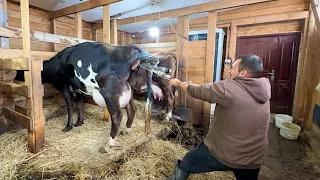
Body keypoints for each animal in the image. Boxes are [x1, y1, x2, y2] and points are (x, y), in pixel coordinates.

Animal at [15, 41, 170, 152]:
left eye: (20, 72)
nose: (15, 79)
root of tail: (130, 48)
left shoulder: (65, 88)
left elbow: (70, 106)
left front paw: (68, 126)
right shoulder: (78, 89)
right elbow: (80, 104)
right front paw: (79, 122)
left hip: (110, 92)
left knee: (117, 116)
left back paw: (108, 145)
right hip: (128, 89)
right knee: (132, 109)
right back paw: (127, 130)